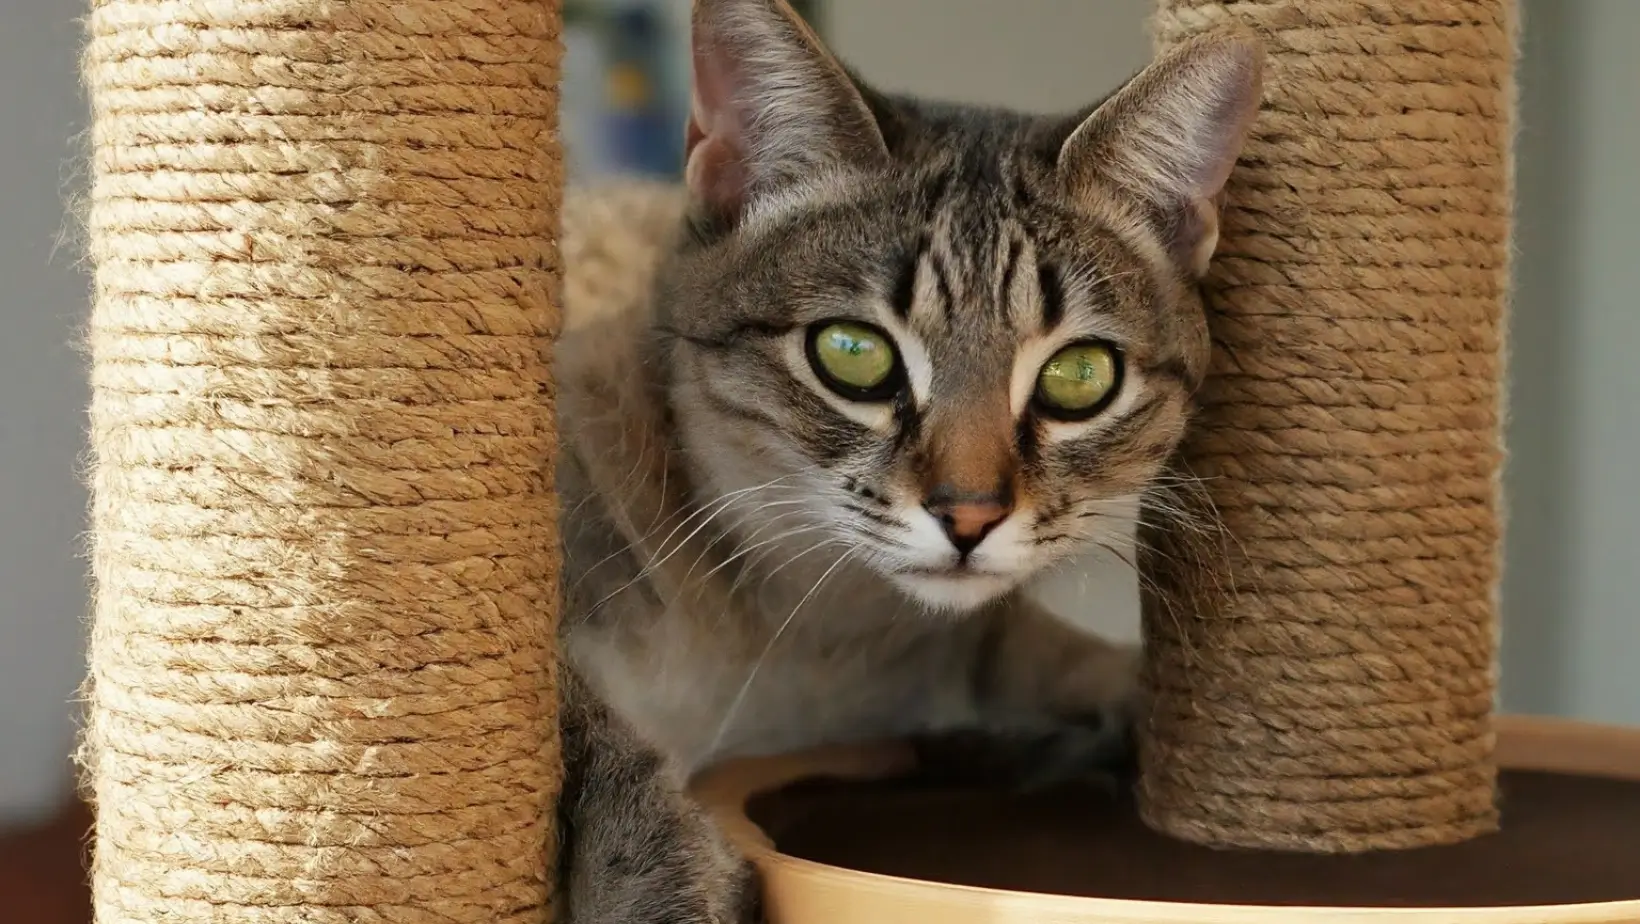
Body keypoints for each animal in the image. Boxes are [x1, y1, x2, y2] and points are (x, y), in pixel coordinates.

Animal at [554, 3, 1266, 919]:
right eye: (852, 352)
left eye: (1079, 375)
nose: (970, 514)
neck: (797, 641)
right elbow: (570, 710)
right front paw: (661, 871)